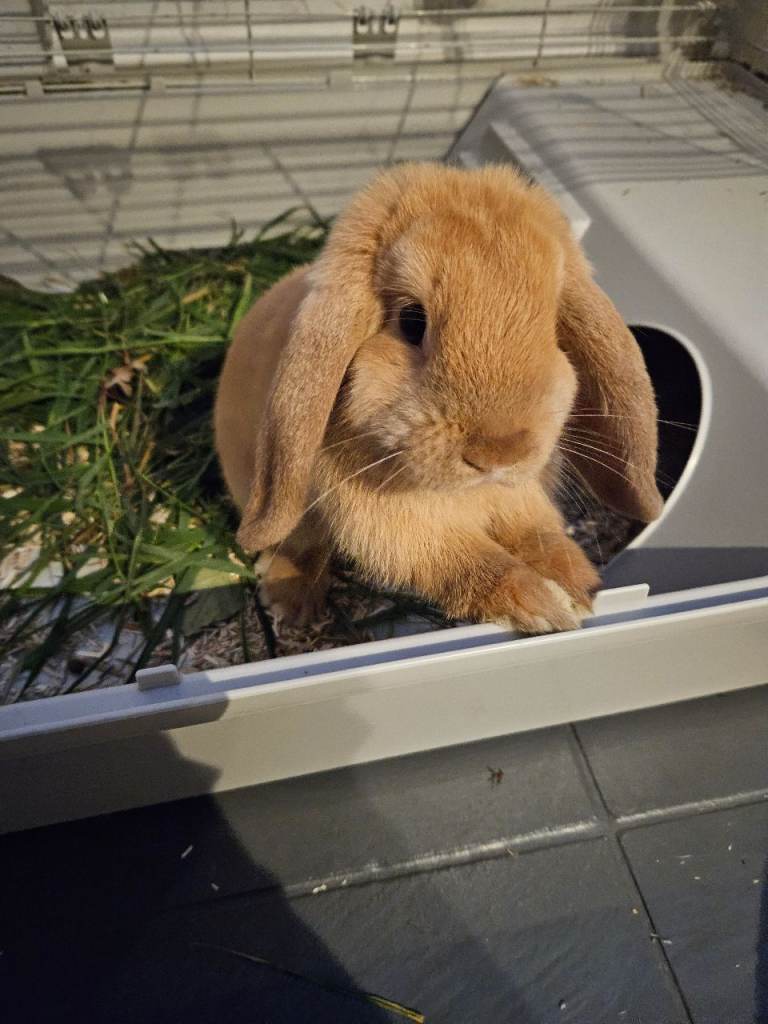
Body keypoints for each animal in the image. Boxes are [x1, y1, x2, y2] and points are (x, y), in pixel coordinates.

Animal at [214, 162, 662, 632]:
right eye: (412, 321)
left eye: (552, 329)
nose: (499, 453)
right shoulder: (395, 524)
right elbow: (466, 563)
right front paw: (539, 605)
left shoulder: (520, 499)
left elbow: (538, 536)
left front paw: (578, 586)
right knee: (298, 545)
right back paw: (292, 605)